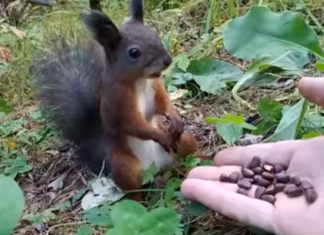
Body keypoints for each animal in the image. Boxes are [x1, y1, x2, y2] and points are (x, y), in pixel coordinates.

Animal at [33, 0, 200, 200]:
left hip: (184, 142)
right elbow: (133, 124)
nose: (167, 60)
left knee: (187, 151)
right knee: (134, 191)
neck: (140, 80)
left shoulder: (155, 88)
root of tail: (156, 168)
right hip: (124, 167)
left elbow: (163, 104)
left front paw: (176, 120)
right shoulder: (118, 101)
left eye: (154, 34)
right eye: (134, 52)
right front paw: (161, 136)